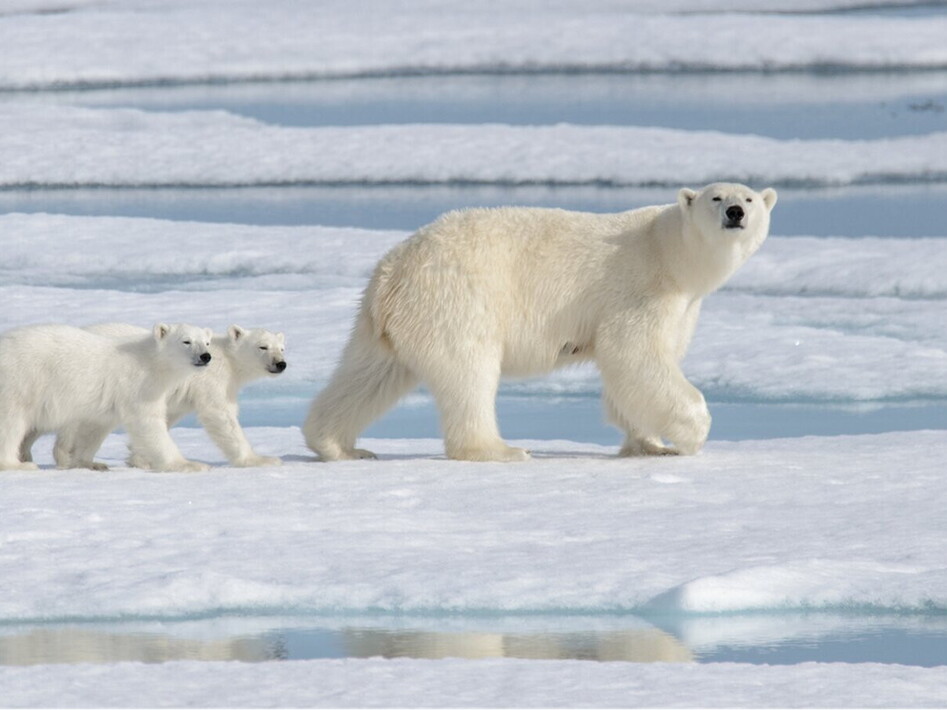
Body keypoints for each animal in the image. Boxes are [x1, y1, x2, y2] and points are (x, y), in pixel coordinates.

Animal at [0, 322, 213, 472]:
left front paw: (90, 463)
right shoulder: (138, 386)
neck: (152, 362)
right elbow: (148, 423)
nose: (205, 356)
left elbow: (94, 428)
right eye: (186, 341)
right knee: (11, 424)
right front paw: (188, 464)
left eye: (207, 342)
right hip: (20, 382)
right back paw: (17, 464)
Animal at [33, 323, 288, 468]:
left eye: (282, 348)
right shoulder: (212, 382)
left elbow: (167, 415)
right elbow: (221, 416)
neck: (226, 359)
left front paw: (140, 459)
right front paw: (260, 459)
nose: (281, 364)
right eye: (263, 347)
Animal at [303, 182, 777, 462]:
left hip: (385, 324)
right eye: (717, 197)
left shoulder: (683, 307)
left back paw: (338, 446)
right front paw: (691, 435)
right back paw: (499, 449)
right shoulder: (641, 289)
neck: (669, 252)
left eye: (750, 198)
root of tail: (392, 272)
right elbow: (634, 355)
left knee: (368, 376)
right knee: (468, 374)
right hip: (457, 301)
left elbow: (635, 373)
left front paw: (648, 444)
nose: (736, 212)